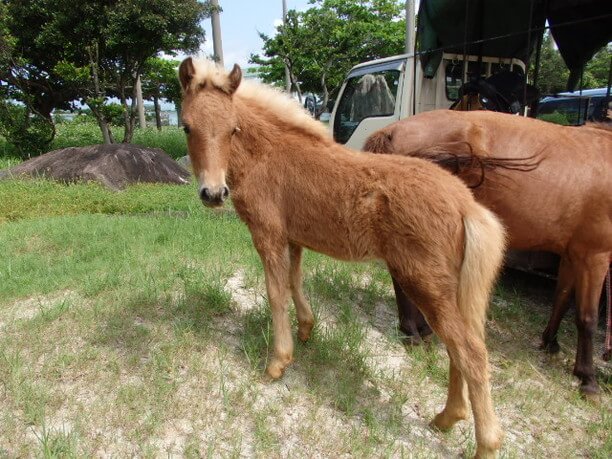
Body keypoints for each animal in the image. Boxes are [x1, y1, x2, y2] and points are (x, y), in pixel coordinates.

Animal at [178, 59, 506, 458]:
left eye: (232, 129)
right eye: (187, 126)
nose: (213, 193)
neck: (268, 156)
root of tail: (465, 204)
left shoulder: (267, 235)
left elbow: (275, 293)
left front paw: (277, 363)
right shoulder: (294, 238)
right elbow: (294, 281)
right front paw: (306, 330)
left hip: (425, 283)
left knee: (470, 353)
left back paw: (484, 443)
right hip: (450, 290)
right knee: (458, 348)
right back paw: (446, 417)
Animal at [364, 109, 612, 398]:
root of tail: (393, 130)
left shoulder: (572, 255)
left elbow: (561, 299)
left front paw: (550, 343)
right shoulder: (594, 256)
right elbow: (587, 318)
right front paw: (588, 379)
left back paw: (421, 329)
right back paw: (412, 332)